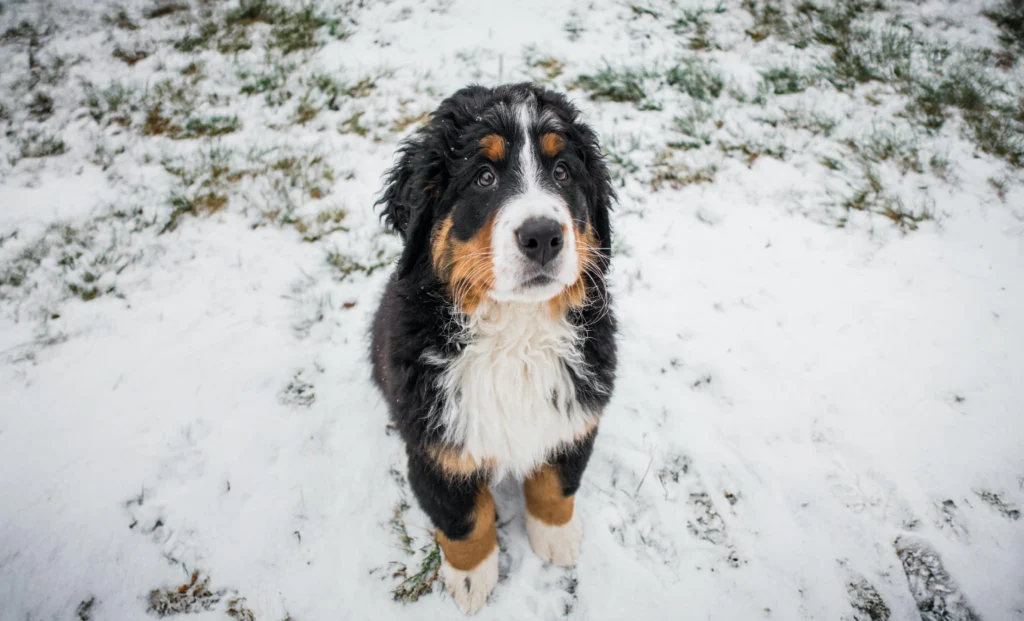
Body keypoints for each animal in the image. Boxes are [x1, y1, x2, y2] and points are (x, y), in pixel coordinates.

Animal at [372, 81, 618, 614]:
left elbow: (556, 484)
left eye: (562, 171)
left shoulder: (575, 413)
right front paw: (470, 580)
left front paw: (557, 538)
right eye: (483, 177)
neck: (514, 335)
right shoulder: (438, 448)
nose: (542, 235)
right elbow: (464, 520)